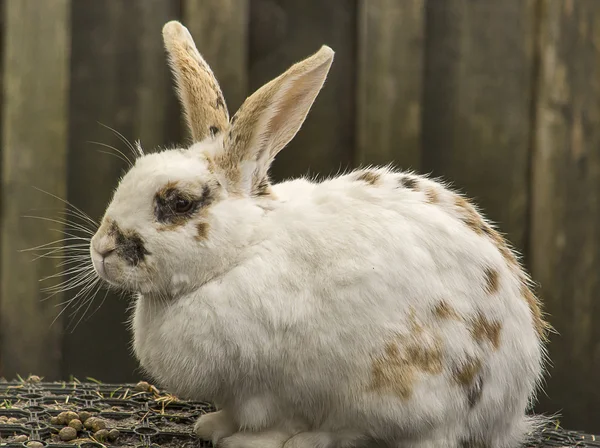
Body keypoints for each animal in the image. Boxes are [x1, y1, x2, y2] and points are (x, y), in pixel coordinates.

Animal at [86, 20, 552, 448]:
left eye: (179, 203)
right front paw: (212, 427)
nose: (102, 250)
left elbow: (274, 420)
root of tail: (505, 414)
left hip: (398, 394)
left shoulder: (275, 390)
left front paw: (247, 441)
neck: (243, 251)